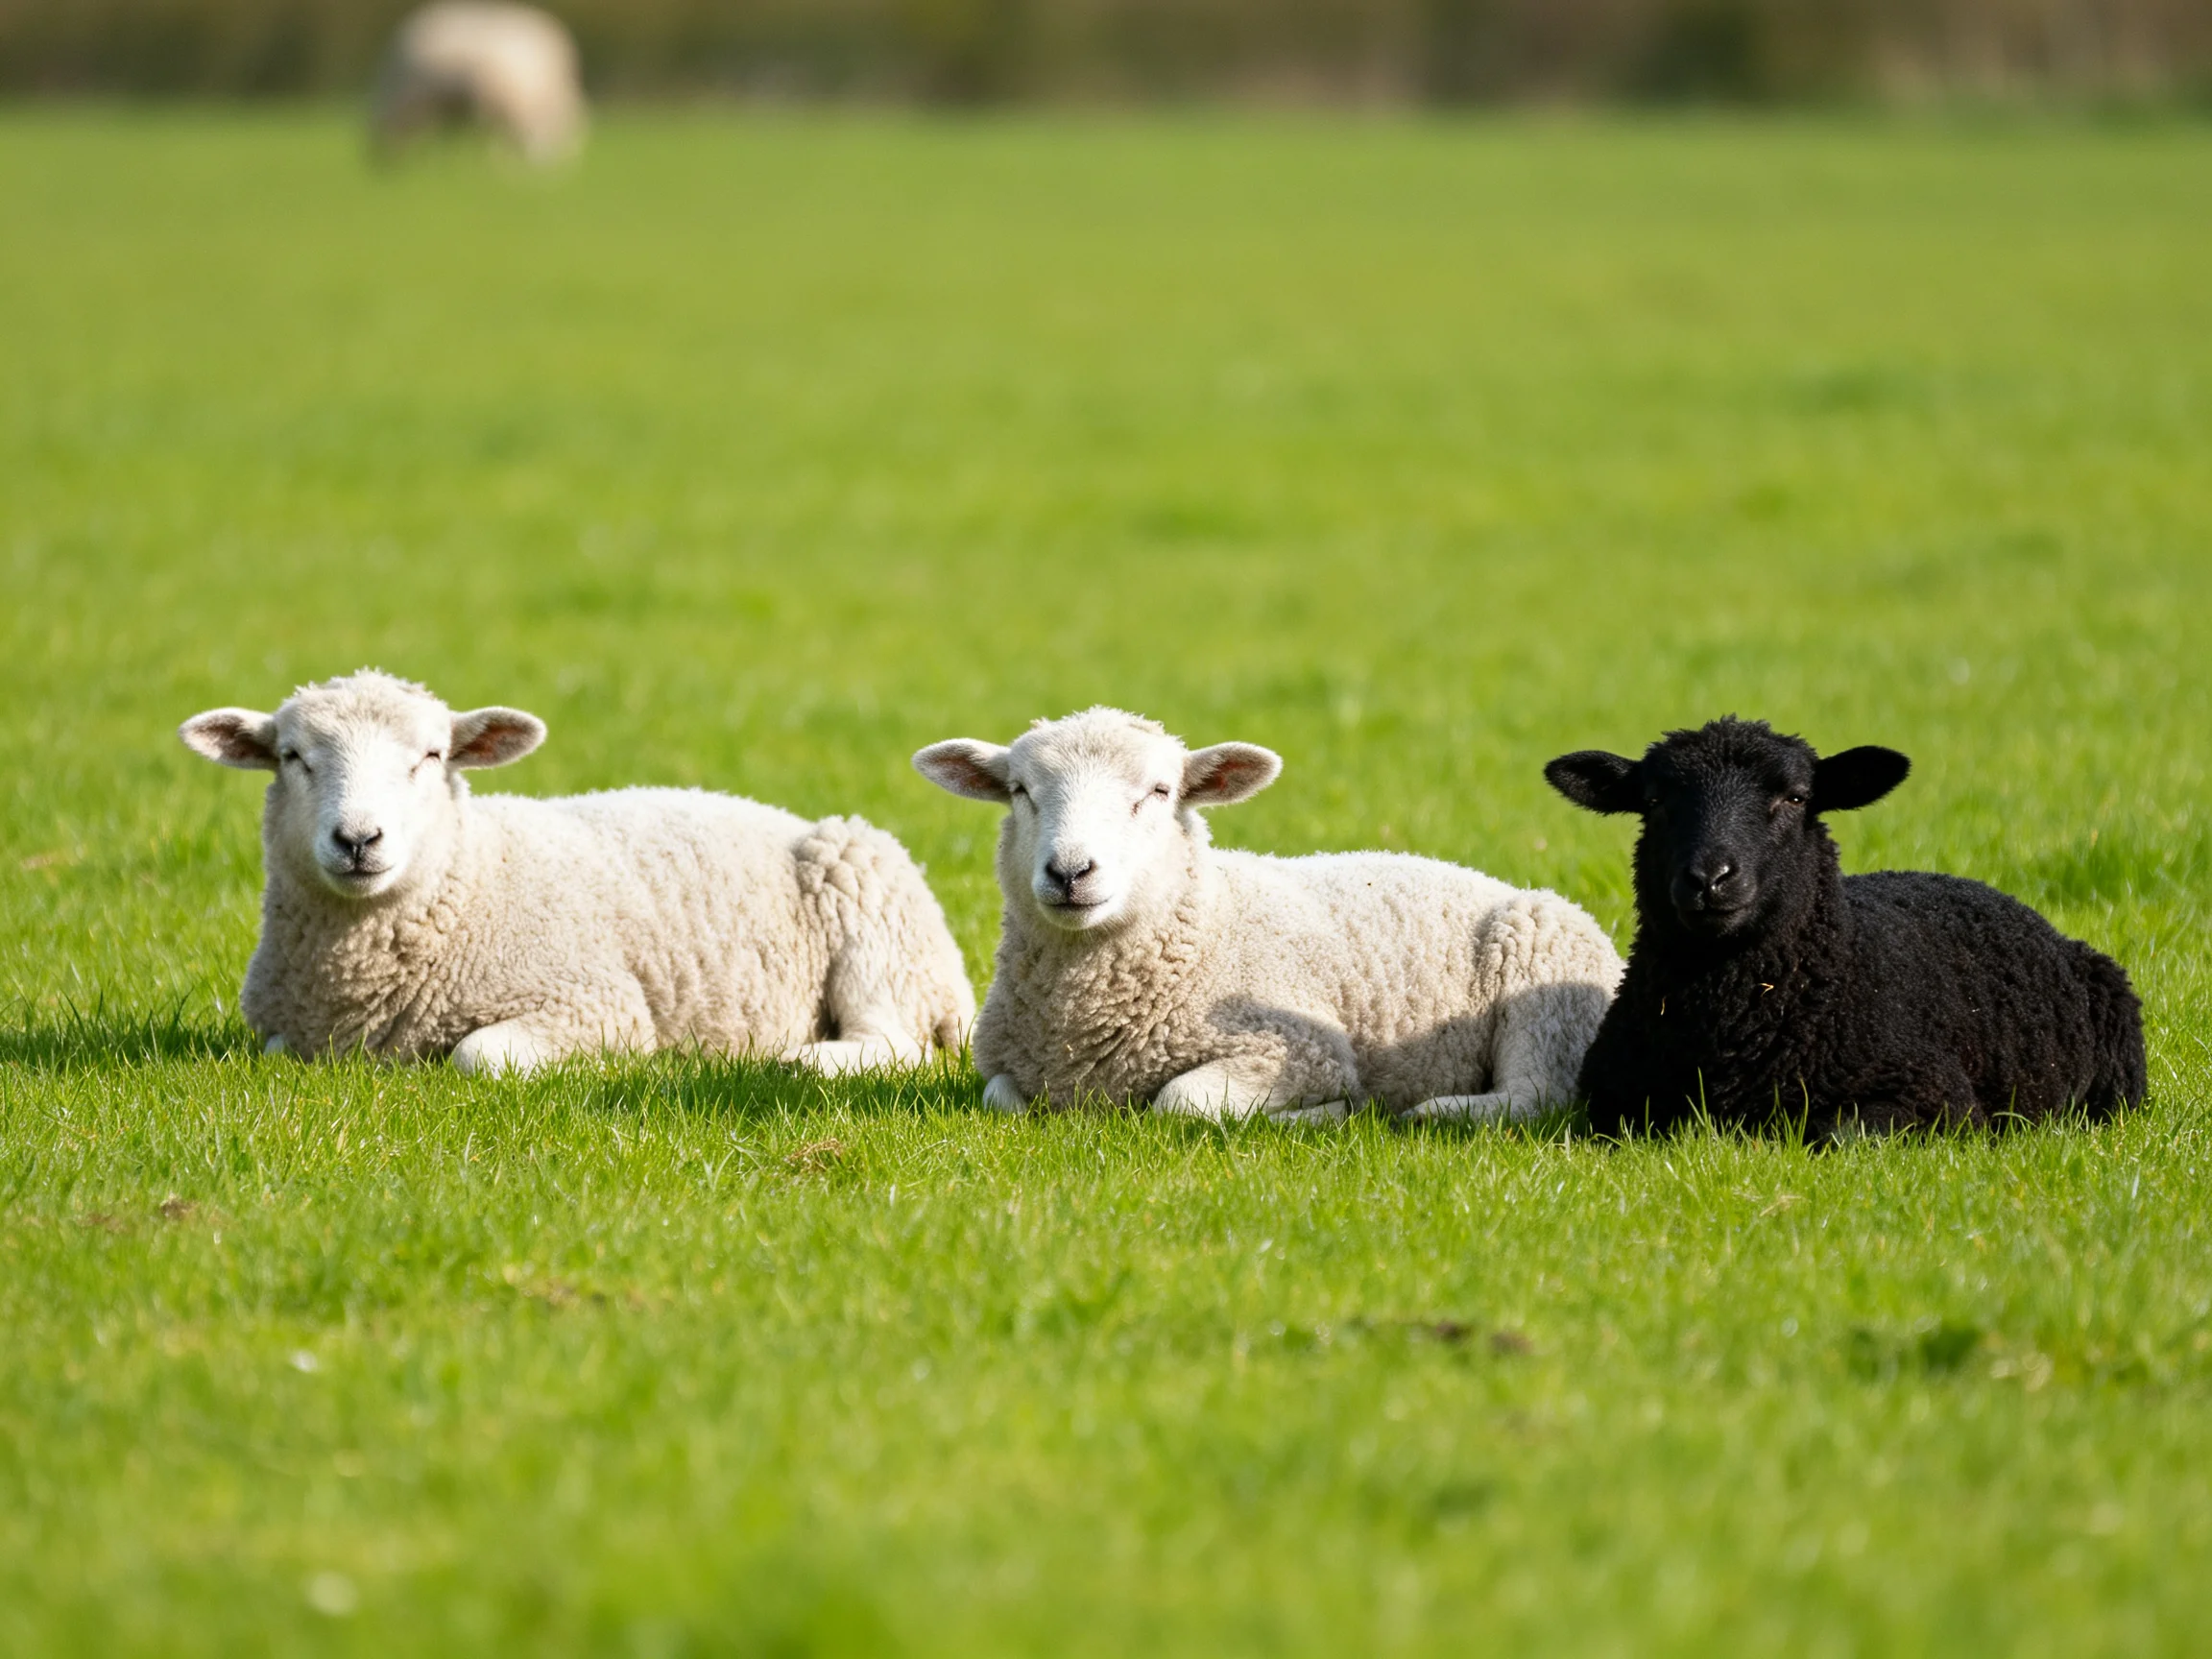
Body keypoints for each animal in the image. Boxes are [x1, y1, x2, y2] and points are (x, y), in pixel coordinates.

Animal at [179, 670, 972, 1075]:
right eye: (292, 757)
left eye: (432, 756)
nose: (357, 839)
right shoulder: (289, 1035)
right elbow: (279, 1050)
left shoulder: (596, 1004)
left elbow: (477, 1056)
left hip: (872, 914)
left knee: (896, 1044)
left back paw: (804, 1059)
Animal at [913, 707, 1623, 1124]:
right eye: (1020, 791)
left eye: (1160, 791)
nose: (1069, 873)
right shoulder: (1006, 1069)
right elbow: (1001, 1099)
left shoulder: (1303, 1051)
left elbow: (1180, 1104)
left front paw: (1325, 1116)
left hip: (1546, 994)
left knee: (1538, 1096)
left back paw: (1431, 1111)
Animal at [1545, 716, 2147, 1137]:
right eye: (1654, 801)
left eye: (1795, 797)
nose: (1710, 878)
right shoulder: (1609, 1101)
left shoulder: (1937, 1097)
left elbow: (1835, 1132)